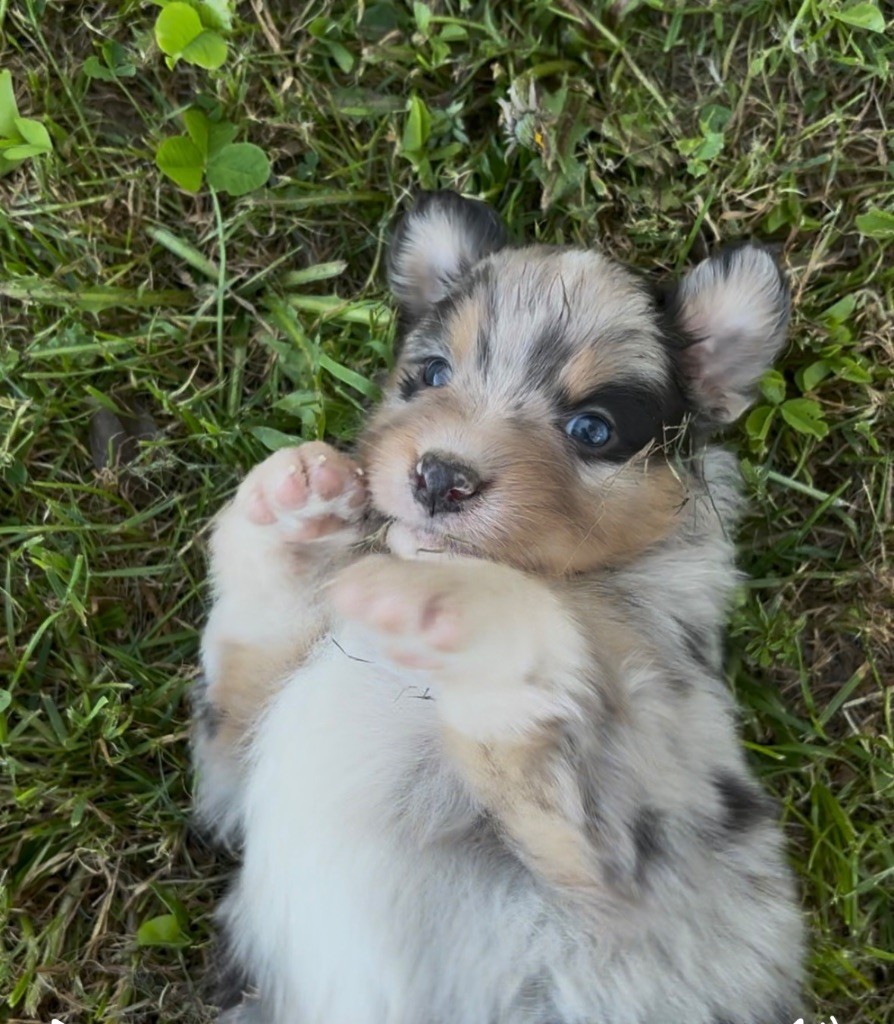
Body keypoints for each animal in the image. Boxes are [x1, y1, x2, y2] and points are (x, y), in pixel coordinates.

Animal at [193, 191, 804, 1023]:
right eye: (432, 373)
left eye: (593, 428)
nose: (439, 477)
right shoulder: (233, 769)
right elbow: (251, 642)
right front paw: (294, 509)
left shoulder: (620, 855)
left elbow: (531, 653)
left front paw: (447, 600)